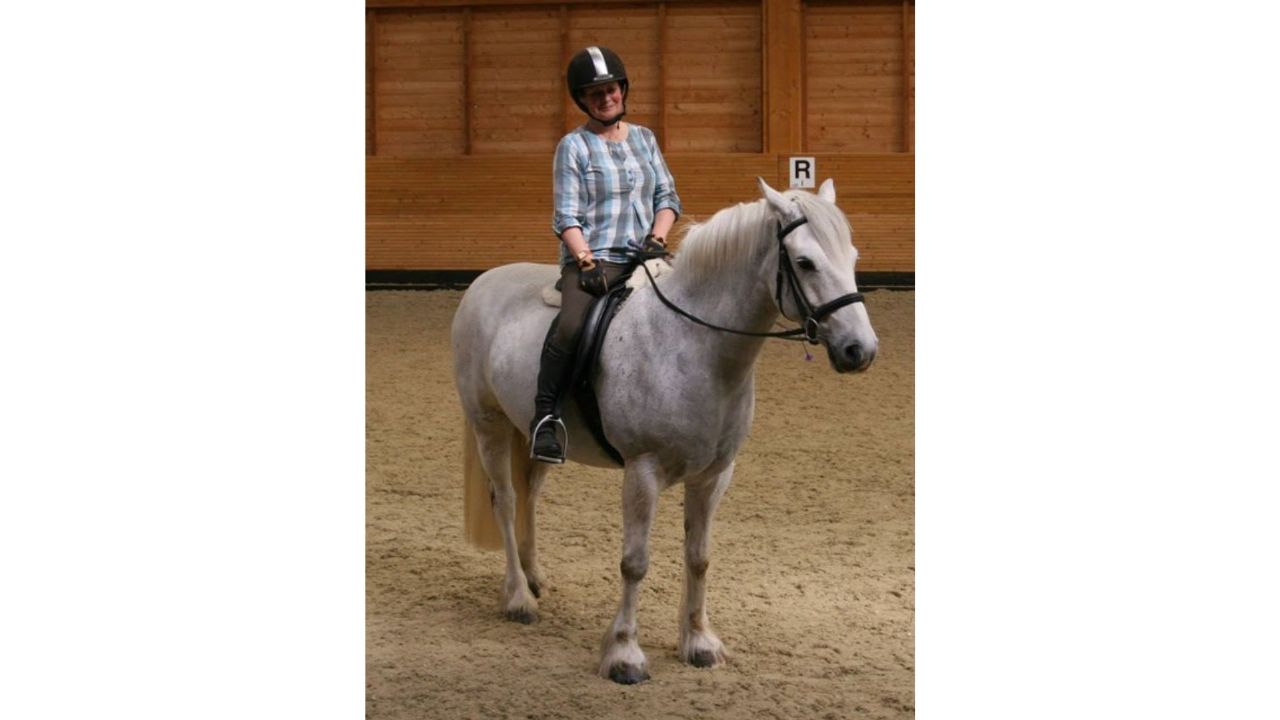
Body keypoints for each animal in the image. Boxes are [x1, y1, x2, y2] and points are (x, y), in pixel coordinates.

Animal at [450, 177, 878, 684]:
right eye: (805, 261)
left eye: (853, 257)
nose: (860, 350)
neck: (693, 347)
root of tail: (484, 281)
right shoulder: (643, 471)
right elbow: (634, 563)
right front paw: (624, 654)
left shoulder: (714, 475)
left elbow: (699, 556)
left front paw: (699, 642)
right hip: (489, 425)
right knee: (507, 499)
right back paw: (518, 598)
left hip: (532, 433)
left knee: (530, 495)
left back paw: (535, 580)